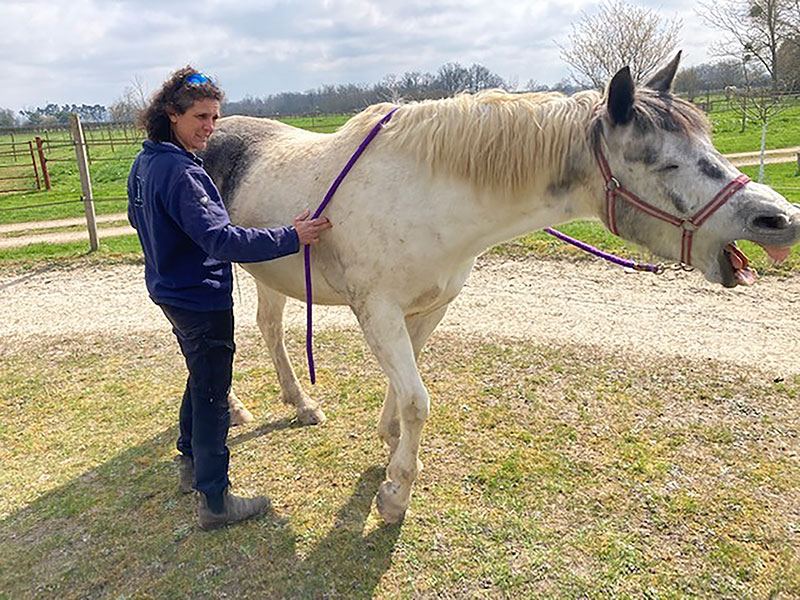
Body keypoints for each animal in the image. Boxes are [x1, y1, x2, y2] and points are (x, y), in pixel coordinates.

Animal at [201, 53, 800, 523]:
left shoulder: (428, 309)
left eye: (711, 145)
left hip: (272, 274)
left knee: (270, 330)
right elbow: (417, 399)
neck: (426, 196)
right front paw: (395, 495)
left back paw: (301, 404)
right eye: (669, 164)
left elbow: (404, 389)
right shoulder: (378, 312)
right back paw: (234, 409)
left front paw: (392, 448)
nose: (779, 219)